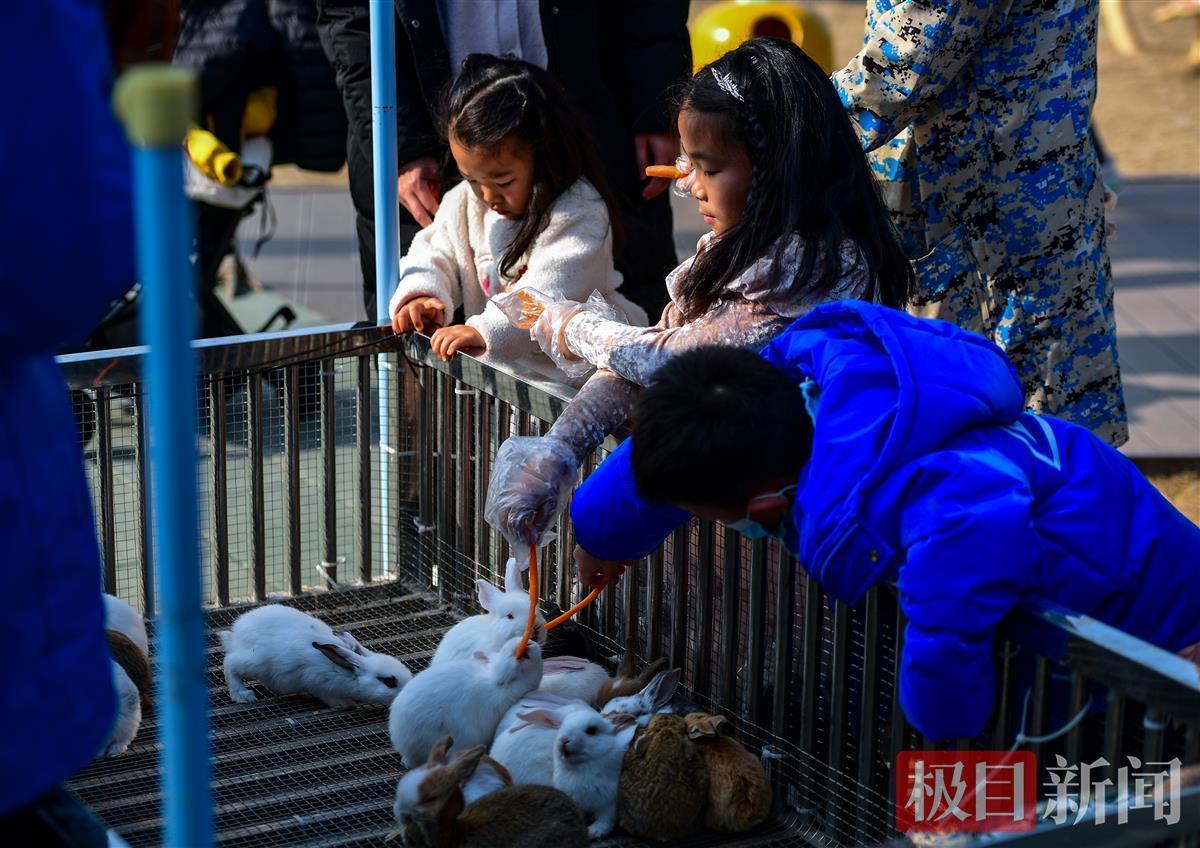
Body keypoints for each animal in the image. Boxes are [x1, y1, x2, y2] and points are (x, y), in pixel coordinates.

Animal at [220, 604, 412, 710]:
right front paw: (345, 704)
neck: (345, 671)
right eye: (389, 681)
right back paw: (243, 695)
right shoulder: (318, 684)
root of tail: (237, 633)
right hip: (257, 661)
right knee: (231, 663)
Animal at [520, 705, 643, 839]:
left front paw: (594, 831)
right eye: (562, 726)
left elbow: (606, 819)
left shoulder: (609, 803)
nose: (564, 739)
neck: (580, 767)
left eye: (591, 730)